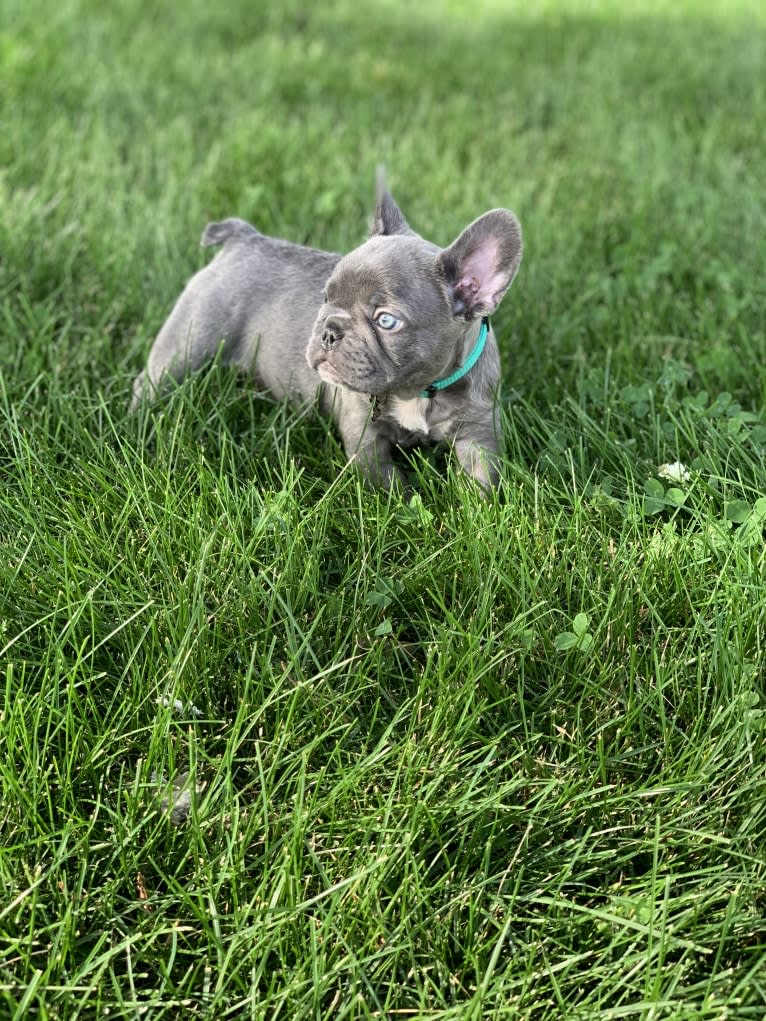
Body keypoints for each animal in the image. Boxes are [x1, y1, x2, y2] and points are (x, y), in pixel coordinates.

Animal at [134, 188, 527, 490]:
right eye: (326, 297)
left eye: (386, 321)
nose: (328, 331)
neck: (419, 391)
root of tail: (243, 238)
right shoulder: (365, 437)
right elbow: (386, 483)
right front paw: (404, 509)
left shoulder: (478, 431)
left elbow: (482, 478)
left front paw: (479, 513)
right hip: (190, 339)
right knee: (152, 379)